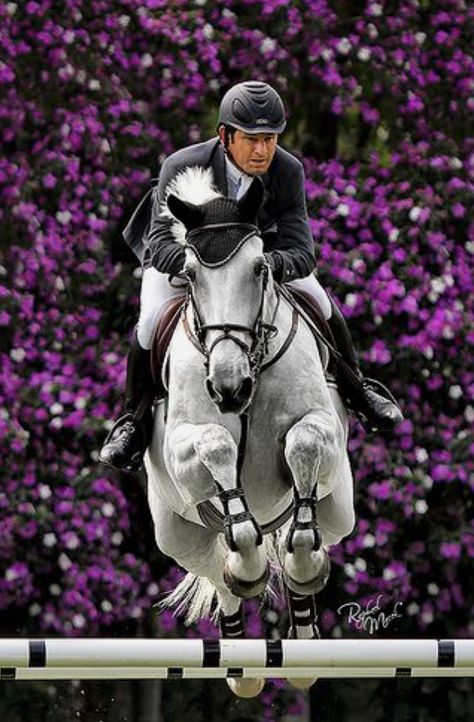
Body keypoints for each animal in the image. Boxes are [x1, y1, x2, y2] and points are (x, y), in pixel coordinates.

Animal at [146, 166, 354, 696]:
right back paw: (242, 654)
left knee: (312, 535)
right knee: (222, 574)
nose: (229, 387)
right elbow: (217, 444)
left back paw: (303, 628)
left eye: (260, 268)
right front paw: (248, 554)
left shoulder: (323, 428)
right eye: (190, 275)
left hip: (338, 509)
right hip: (179, 535)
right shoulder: (182, 449)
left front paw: (304, 564)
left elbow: (304, 440)